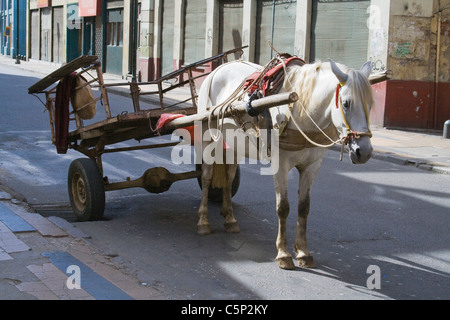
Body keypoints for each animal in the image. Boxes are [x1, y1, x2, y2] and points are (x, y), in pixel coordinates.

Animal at [196, 58, 372, 270]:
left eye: (371, 104)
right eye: (346, 103)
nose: (364, 151)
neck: (301, 112)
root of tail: (219, 68)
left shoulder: (312, 166)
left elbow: (304, 207)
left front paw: (303, 252)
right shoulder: (281, 165)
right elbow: (283, 208)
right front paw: (283, 254)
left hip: (235, 144)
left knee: (229, 178)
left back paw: (230, 218)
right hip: (207, 136)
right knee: (206, 176)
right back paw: (203, 221)